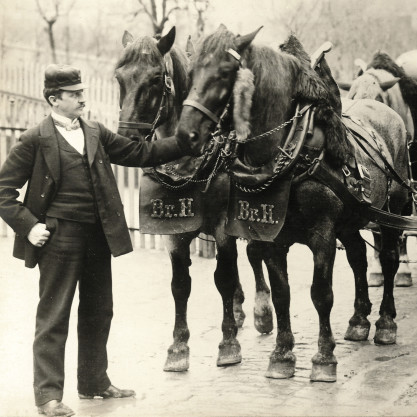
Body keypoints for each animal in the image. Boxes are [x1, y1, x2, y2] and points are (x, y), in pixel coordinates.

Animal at [114, 26, 272, 370]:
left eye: (155, 79)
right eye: (119, 78)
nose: (128, 139)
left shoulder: (225, 225)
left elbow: (224, 277)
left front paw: (229, 343)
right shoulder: (173, 229)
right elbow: (180, 285)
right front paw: (178, 346)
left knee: (255, 253)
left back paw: (261, 309)